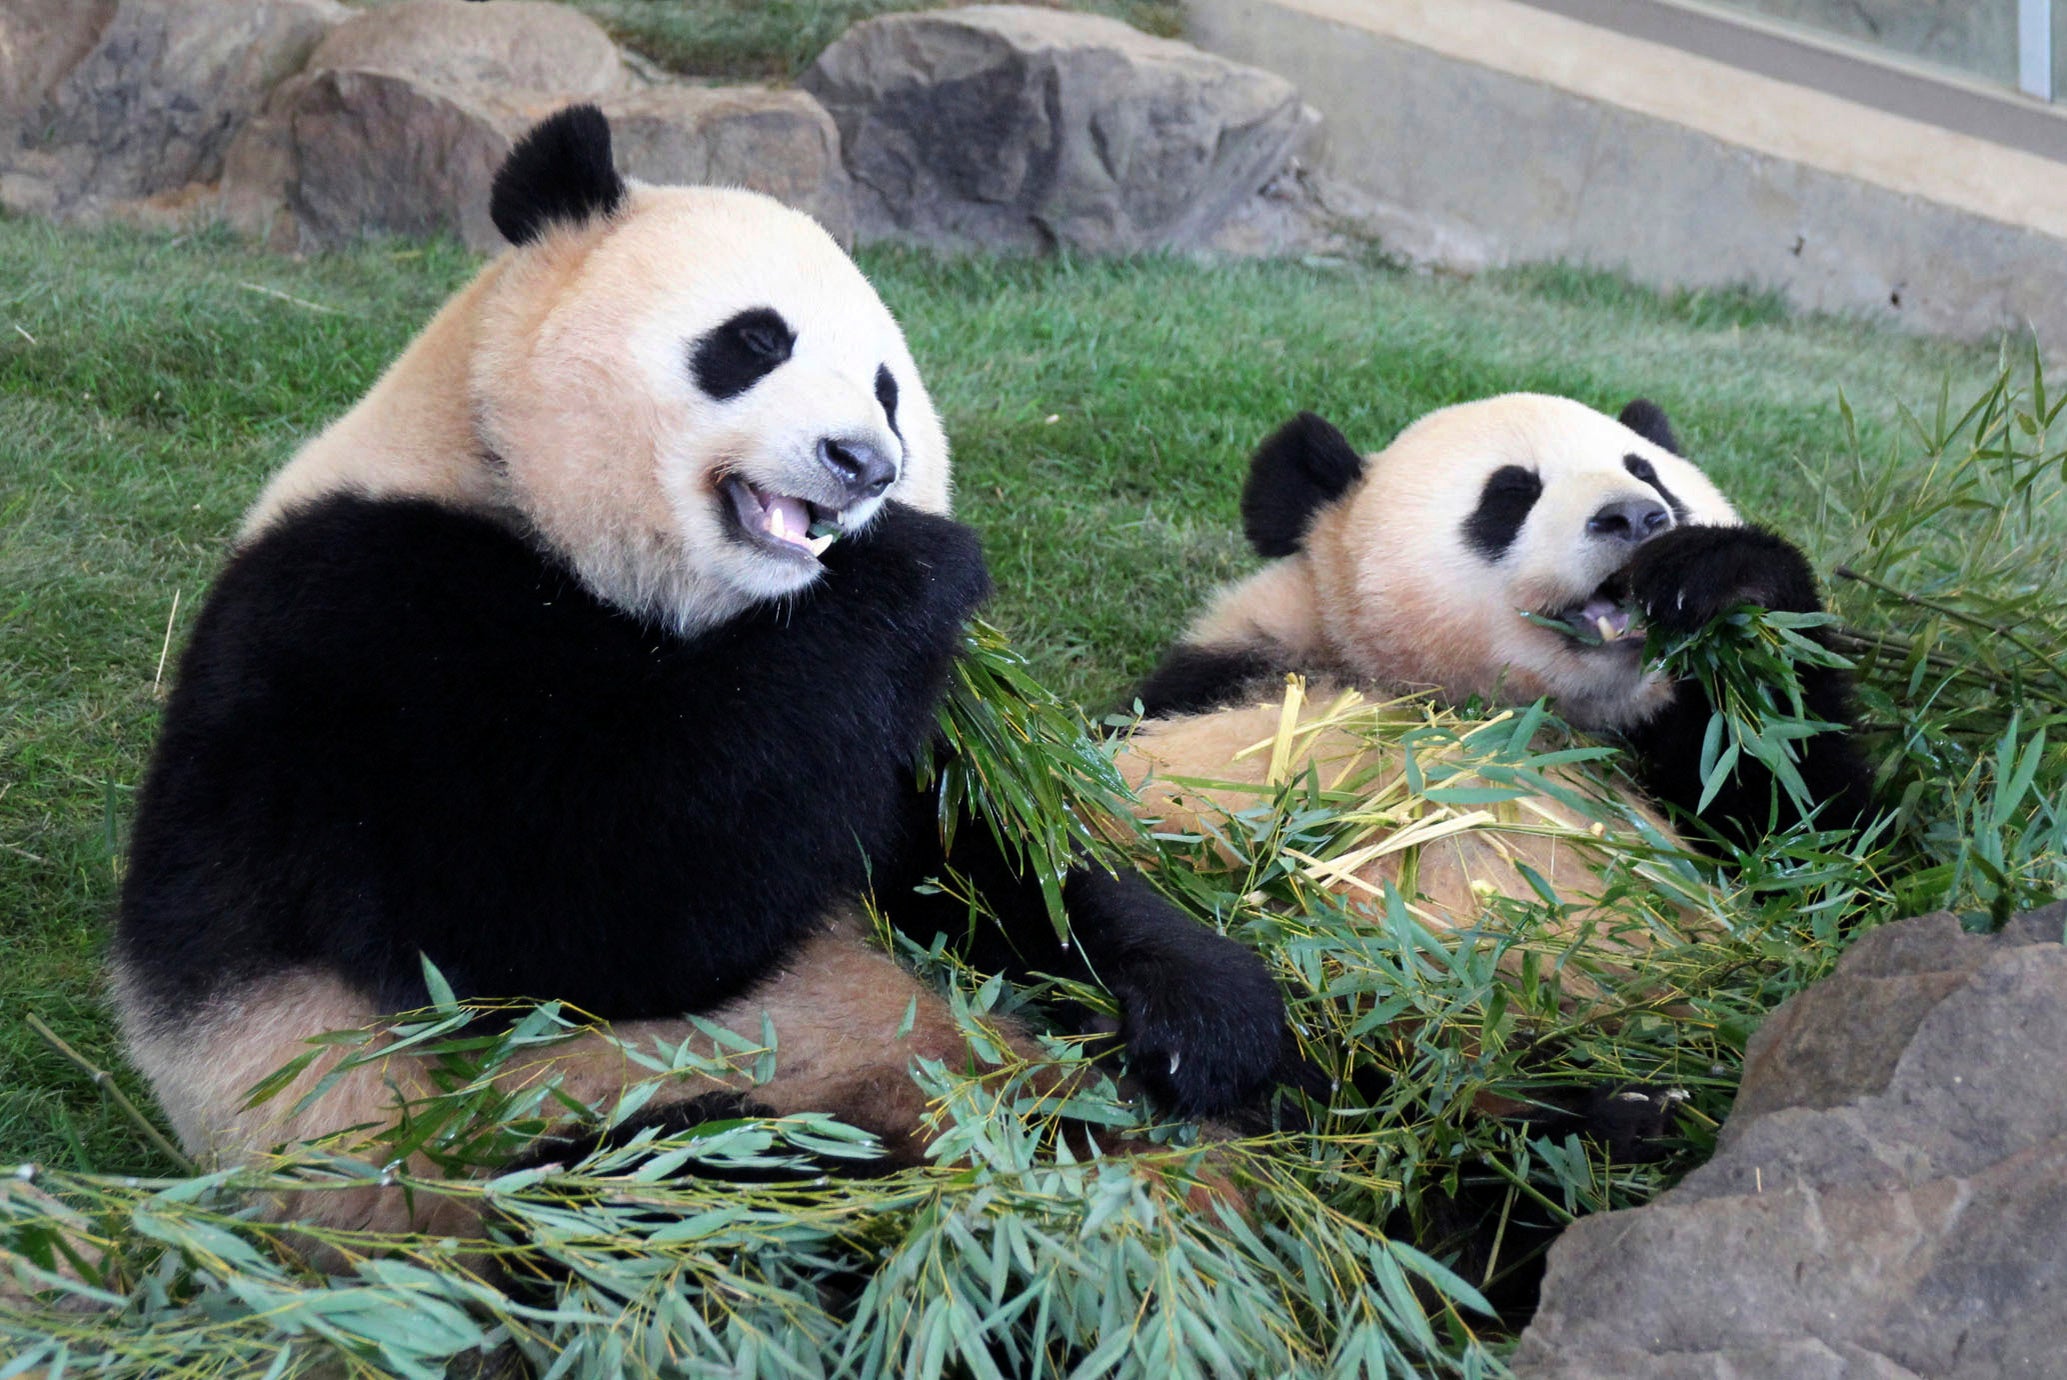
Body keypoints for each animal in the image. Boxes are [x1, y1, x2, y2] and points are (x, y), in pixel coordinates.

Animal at [111, 105, 1293, 1245]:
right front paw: (919, 559)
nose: (865, 465)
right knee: (689, 1204)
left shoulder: (868, 720)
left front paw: (1212, 1018)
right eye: (754, 341)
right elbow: (576, 911)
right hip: (488, 1147)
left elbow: (980, 851)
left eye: (888, 391)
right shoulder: (362, 629)